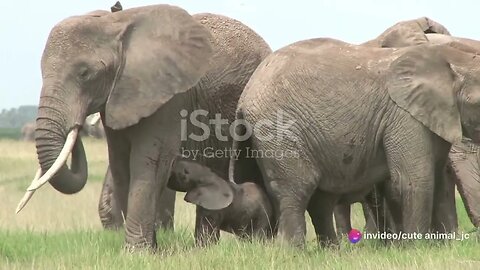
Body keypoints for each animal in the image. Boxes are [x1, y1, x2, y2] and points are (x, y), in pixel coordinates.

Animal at [15, 3, 270, 251]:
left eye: (85, 73)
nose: (76, 126)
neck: (117, 23)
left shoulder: (169, 95)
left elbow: (150, 161)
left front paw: (138, 253)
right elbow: (120, 162)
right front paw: (149, 248)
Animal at [228, 35, 480, 247]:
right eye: (478, 103)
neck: (450, 59)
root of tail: (244, 96)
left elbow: (440, 180)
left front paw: (442, 247)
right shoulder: (404, 116)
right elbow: (412, 179)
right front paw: (414, 248)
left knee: (320, 200)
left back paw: (331, 252)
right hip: (279, 129)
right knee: (296, 190)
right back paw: (293, 251)